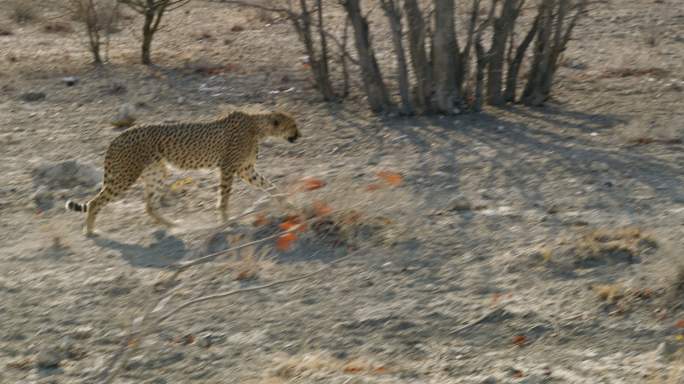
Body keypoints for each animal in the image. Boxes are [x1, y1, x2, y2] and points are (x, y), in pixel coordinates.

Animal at [67, 109, 302, 236]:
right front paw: (225, 220)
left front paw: (287, 201)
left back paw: (173, 224)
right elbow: (224, 197)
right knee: (96, 202)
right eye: (293, 125)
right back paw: (89, 230)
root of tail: (117, 136)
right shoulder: (228, 168)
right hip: (126, 176)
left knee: (149, 205)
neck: (258, 127)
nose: (299, 135)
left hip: (157, 173)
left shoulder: (246, 170)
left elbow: (269, 185)